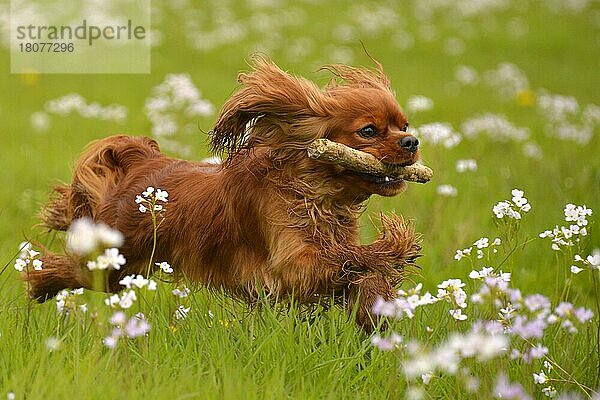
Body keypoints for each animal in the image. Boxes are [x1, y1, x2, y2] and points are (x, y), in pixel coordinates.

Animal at [27, 56, 422, 332]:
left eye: (404, 126)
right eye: (369, 131)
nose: (412, 142)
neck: (313, 190)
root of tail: (142, 161)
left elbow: (360, 272)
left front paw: (377, 313)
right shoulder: (294, 265)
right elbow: (351, 256)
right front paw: (396, 244)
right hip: (114, 262)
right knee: (69, 268)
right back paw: (39, 283)